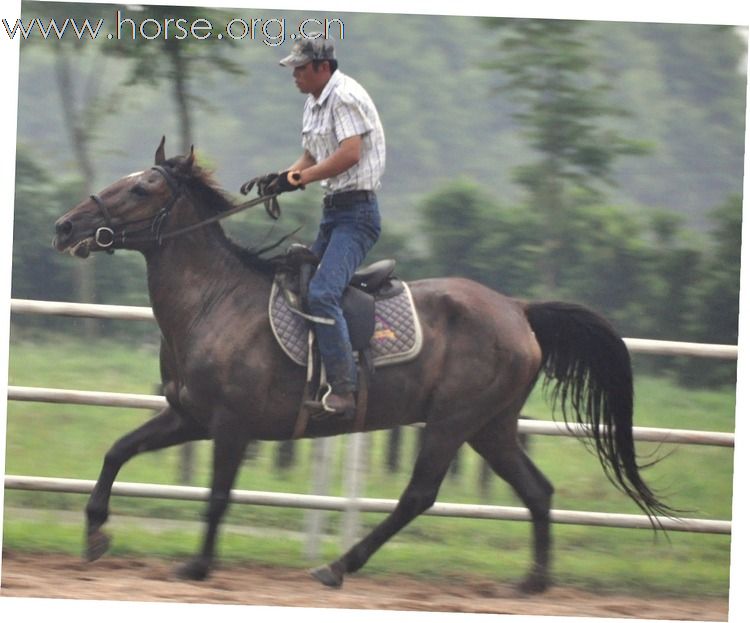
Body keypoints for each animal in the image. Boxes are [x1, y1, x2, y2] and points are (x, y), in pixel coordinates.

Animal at [54, 140, 676, 596]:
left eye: (142, 187)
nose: (65, 227)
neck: (215, 302)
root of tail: (518, 308)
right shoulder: (189, 417)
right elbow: (117, 451)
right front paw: (95, 534)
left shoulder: (231, 426)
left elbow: (217, 497)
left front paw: (197, 566)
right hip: (490, 427)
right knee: (538, 491)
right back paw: (533, 582)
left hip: (452, 423)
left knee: (419, 495)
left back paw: (338, 566)